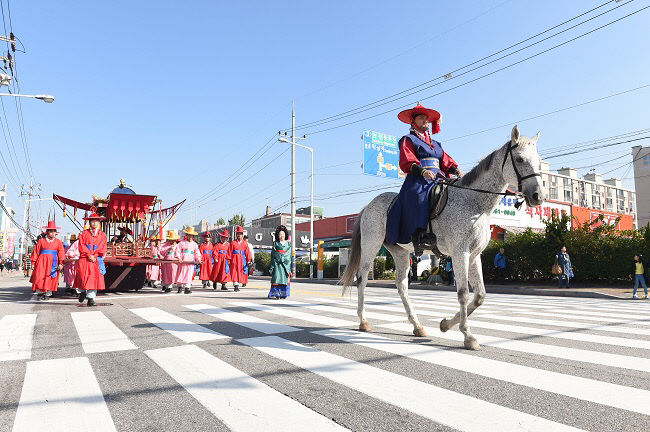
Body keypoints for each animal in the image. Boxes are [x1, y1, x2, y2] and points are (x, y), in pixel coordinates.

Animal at [340, 125, 540, 352]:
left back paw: (417, 325)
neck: (474, 204)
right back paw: (363, 321)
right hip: (371, 245)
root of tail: (368, 206)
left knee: (402, 284)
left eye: (538, 160)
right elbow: (463, 293)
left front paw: (446, 324)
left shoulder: (474, 255)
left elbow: (479, 295)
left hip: (400, 251)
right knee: (362, 278)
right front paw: (467, 335)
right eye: (520, 159)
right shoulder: (460, 253)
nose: (538, 195)